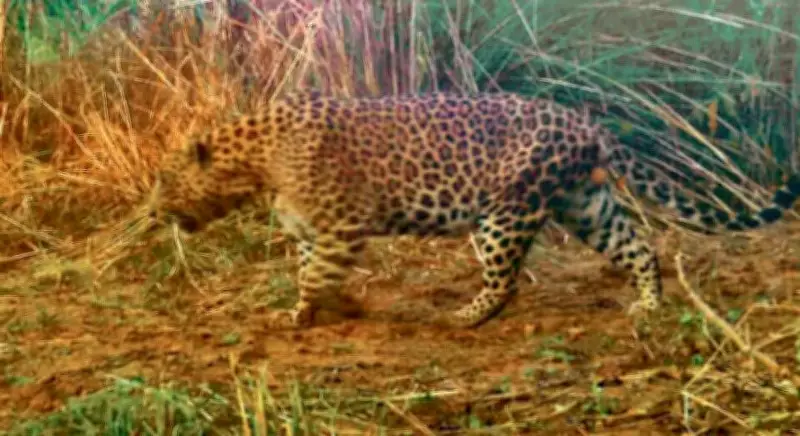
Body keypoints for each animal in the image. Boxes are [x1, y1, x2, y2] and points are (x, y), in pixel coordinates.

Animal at [151, 91, 800, 330]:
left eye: (166, 181)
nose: (155, 212)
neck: (255, 161)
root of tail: (585, 124)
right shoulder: (316, 234)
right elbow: (315, 271)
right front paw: (333, 308)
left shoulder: (338, 228)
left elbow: (313, 276)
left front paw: (302, 314)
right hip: (585, 204)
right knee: (638, 245)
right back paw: (648, 304)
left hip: (504, 213)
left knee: (505, 278)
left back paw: (466, 315)